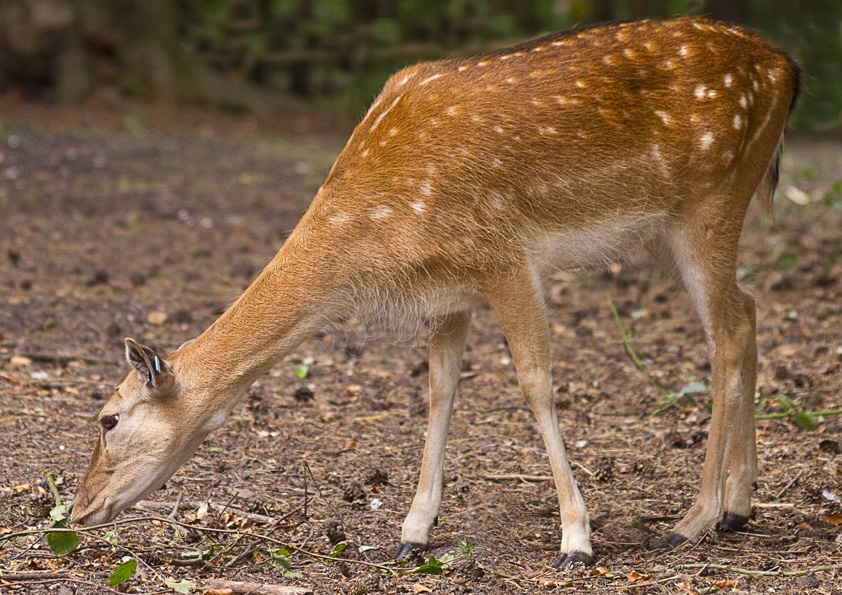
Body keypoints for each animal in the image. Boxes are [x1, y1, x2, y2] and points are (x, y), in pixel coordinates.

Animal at [71, 17, 801, 568]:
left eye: (108, 419)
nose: (78, 508)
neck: (377, 232)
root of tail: (787, 68)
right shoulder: (448, 290)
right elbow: (440, 390)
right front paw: (412, 531)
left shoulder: (505, 256)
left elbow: (536, 382)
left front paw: (576, 539)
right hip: (665, 231)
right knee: (749, 309)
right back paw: (739, 506)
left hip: (711, 200)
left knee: (726, 333)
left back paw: (694, 518)